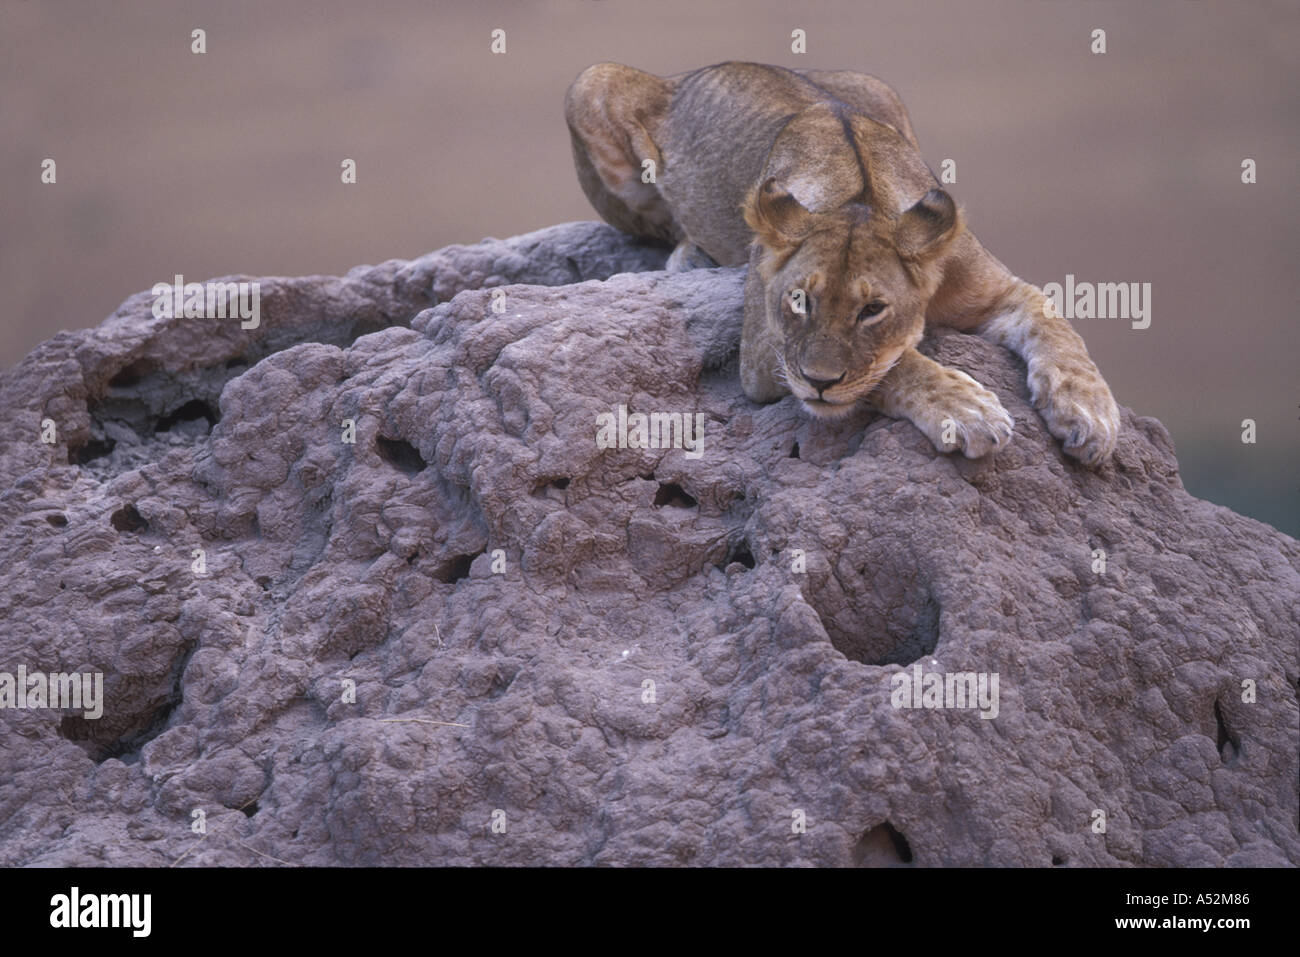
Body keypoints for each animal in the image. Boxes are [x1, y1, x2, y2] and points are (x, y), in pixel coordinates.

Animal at [565, 61, 1120, 465]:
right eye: (798, 301)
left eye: (873, 310)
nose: (819, 383)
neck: (863, 194)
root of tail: (684, 73)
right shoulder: (763, 357)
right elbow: (888, 368)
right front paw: (966, 409)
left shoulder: (1002, 291)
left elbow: (1059, 329)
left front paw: (1091, 414)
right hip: (589, 83)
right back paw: (690, 255)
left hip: (880, 86)